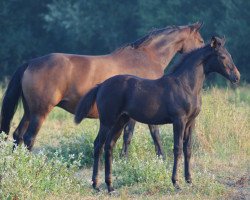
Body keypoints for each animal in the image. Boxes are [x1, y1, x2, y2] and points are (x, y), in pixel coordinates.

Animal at [0, 22, 203, 155]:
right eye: (201, 40)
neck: (147, 57)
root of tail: (31, 62)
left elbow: (128, 136)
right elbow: (152, 134)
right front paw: (159, 157)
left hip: (29, 111)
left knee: (18, 135)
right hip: (40, 112)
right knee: (28, 138)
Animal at [74, 36, 240, 192]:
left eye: (230, 55)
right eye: (222, 57)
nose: (236, 77)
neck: (186, 85)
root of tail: (101, 85)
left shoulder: (191, 122)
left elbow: (188, 149)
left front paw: (189, 180)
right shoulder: (179, 120)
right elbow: (177, 148)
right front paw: (176, 183)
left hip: (120, 121)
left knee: (109, 146)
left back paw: (110, 186)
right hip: (107, 121)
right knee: (98, 145)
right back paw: (96, 185)